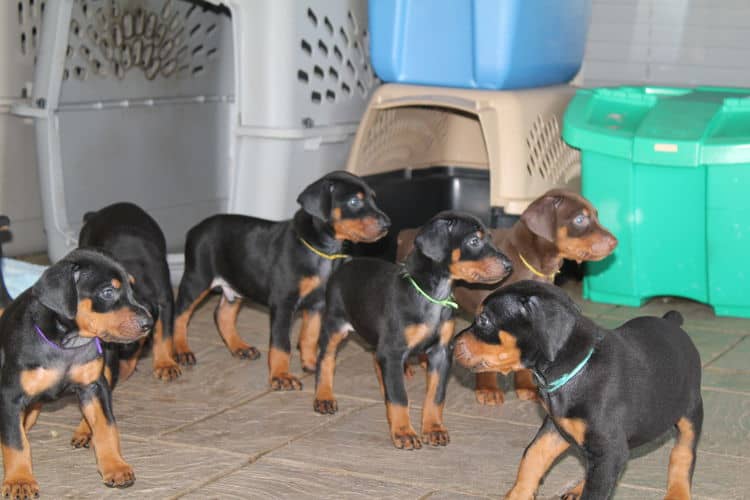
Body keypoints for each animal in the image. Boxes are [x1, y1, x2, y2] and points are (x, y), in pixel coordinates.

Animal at [0, 248, 153, 494]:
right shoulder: (10, 395)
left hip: (106, 371)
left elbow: (107, 427)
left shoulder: (94, 386)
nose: (149, 323)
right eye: (108, 292)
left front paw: (115, 466)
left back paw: (84, 431)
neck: (67, 344)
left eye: (132, 289)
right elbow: (15, 442)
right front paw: (19, 481)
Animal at [173, 172, 390, 390]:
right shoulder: (283, 302)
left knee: (222, 315)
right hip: (197, 279)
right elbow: (281, 344)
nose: (387, 224)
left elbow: (310, 335)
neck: (321, 251)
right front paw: (281, 376)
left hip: (236, 284)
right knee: (180, 315)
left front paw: (311, 364)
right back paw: (182, 351)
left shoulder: (317, 304)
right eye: (354, 201)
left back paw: (240, 348)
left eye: (374, 199)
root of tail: (194, 230)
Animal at [314, 211, 516, 450]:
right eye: (474, 241)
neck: (432, 296)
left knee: (376, 360)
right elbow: (400, 398)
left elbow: (436, 396)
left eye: (491, 238)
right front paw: (403, 432)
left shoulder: (441, 353)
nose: (509, 265)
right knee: (325, 359)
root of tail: (347, 263)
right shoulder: (393, 351)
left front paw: (434, 429)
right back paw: (324, 397)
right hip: (334, 325)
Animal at [396, 189, 620, 404]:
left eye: (596, 215)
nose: (615, 242)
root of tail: (406, 234)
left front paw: (525, 386)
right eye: (580, 219)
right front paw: (488, 389)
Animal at [452, 282, 704, 500]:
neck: (578, 367)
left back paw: (678, 493)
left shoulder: (609, 449)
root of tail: (672, 322)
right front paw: (518, 494)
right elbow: (532, 456)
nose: (452, 344)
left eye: (484, 320)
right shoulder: (556, 427)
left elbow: (596, 490)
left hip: (691, 409)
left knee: (683, 454)